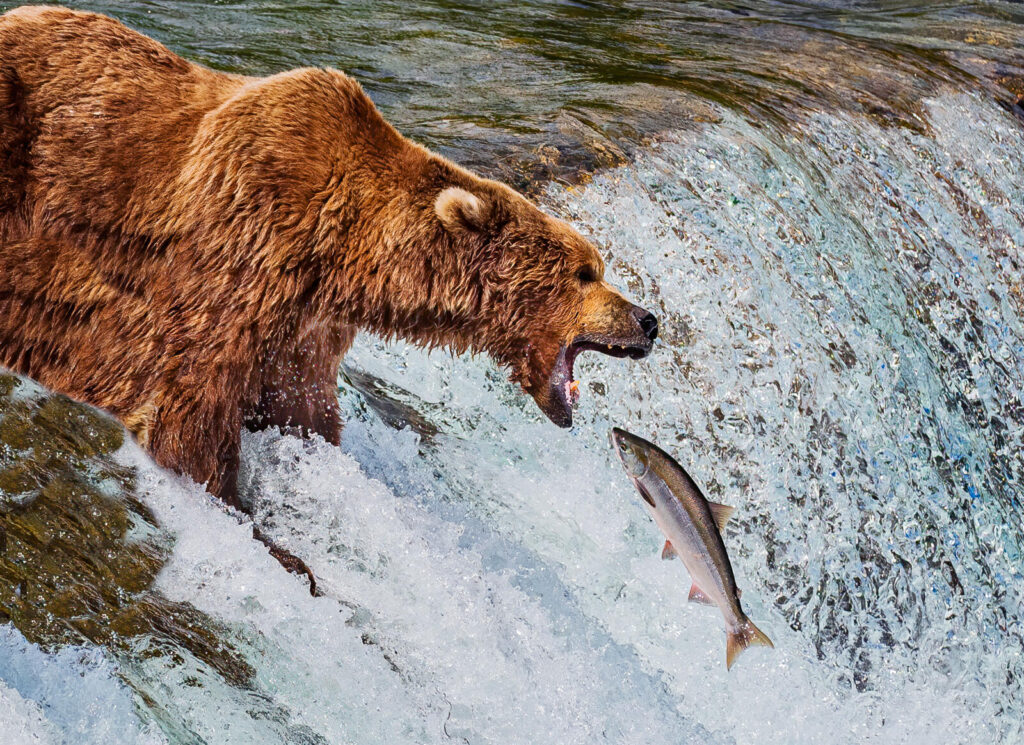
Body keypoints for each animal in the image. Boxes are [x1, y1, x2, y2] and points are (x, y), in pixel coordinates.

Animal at [0, 6, 658, 507]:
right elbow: (189, 409)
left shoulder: (303, 331)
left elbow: (304, 412)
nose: (648, 320)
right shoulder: (242, 249)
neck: (344, 256)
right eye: (585, 272)